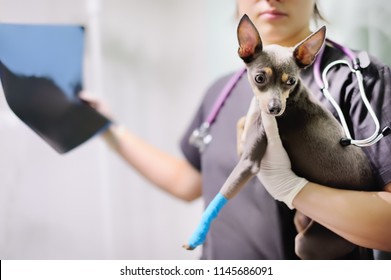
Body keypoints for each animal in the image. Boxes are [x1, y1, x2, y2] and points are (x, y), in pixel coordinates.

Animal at [185, 15, 378, 260]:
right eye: (259, 78)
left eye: (291, 81)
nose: (275, 109)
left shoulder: (248, 163)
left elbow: (224, 192)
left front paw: (197, 234)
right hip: (303, 221)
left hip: (307, 243)